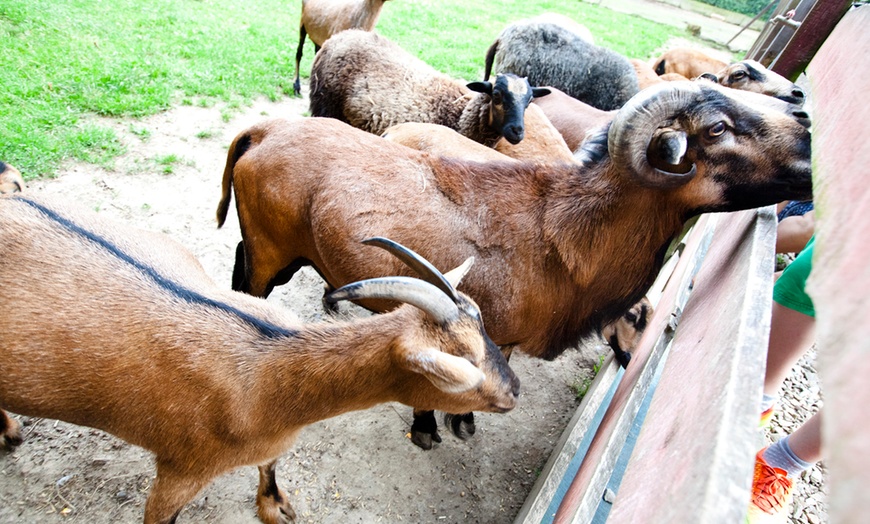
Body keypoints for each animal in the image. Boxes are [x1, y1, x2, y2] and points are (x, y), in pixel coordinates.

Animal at [0, 194, 516, 520]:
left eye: (483, 324)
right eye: (458, 368)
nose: (513, 391)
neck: (267, 375)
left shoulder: (270, 441)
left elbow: (269, 467)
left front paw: (275, 507)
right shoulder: (179, 469)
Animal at [215, 80, 816, 448]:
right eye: (717, 127)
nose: (808, 120)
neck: (565, 234)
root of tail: (262, 130)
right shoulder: (491, 332)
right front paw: (436, 427)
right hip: (271, 249)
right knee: (250, 280)